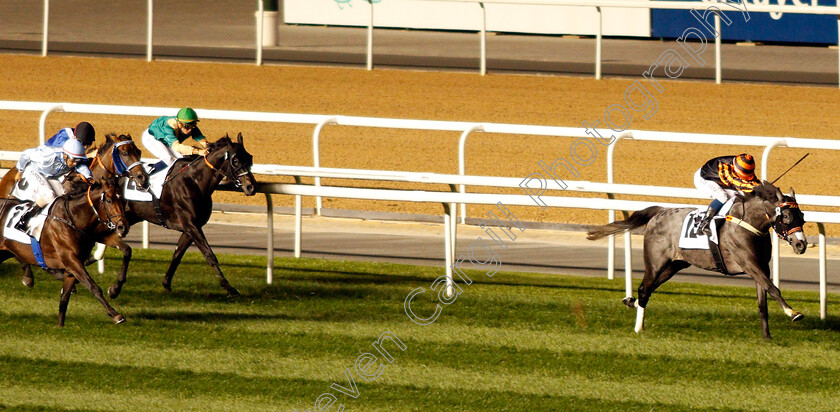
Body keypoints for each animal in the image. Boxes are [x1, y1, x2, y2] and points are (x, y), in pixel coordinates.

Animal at [0, 179, 129, 326]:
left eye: (123, 200)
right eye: (109, 200)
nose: (123, 227)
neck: (73, 218)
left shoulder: (75, 263)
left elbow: (64, 299)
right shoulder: (72, 260)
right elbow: (93, 287)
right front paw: (115, 315)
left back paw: (30, 277)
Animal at [100, 134, 256, 298]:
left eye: (249, 157)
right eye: (235, 160)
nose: (251, 187)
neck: (194, 181)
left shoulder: (190, 229)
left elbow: (177, 254)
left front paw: (166, 283)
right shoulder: (191, 225)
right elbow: (209, 255)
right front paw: (229, 287)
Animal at [588, 182, 812, 340]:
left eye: (802, 216)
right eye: (786, 216)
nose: (801, 244)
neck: (748, 224)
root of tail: (660, 212)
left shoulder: (761, 267)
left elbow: (762, 303)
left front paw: (767, 336)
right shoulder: (749, 264)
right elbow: (774, 289)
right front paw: (793, 313)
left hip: (675, 264)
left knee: (649, 289)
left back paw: (631, 302)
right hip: (655, 262)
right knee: (645, 289)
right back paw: (638, 327)